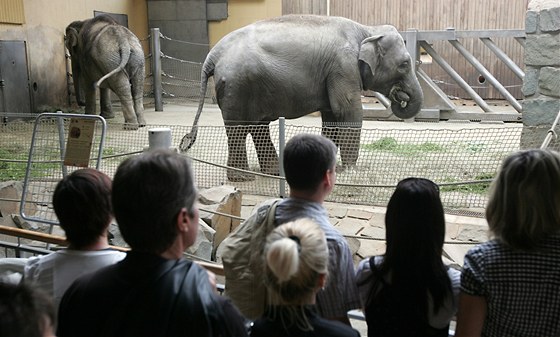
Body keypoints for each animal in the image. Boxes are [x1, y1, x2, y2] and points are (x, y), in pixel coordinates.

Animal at [182, 14, 422, 181]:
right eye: (404, 64)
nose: (400, 95)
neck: (368, 29)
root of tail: (213, 54)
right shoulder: (343, 66)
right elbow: (347, 110)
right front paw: (352, 171)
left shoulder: (334, 73)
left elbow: (331, 116)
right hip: (237, 85)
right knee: (238, 128)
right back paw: (243, 177)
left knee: (257, 125)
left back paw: (272, 171)